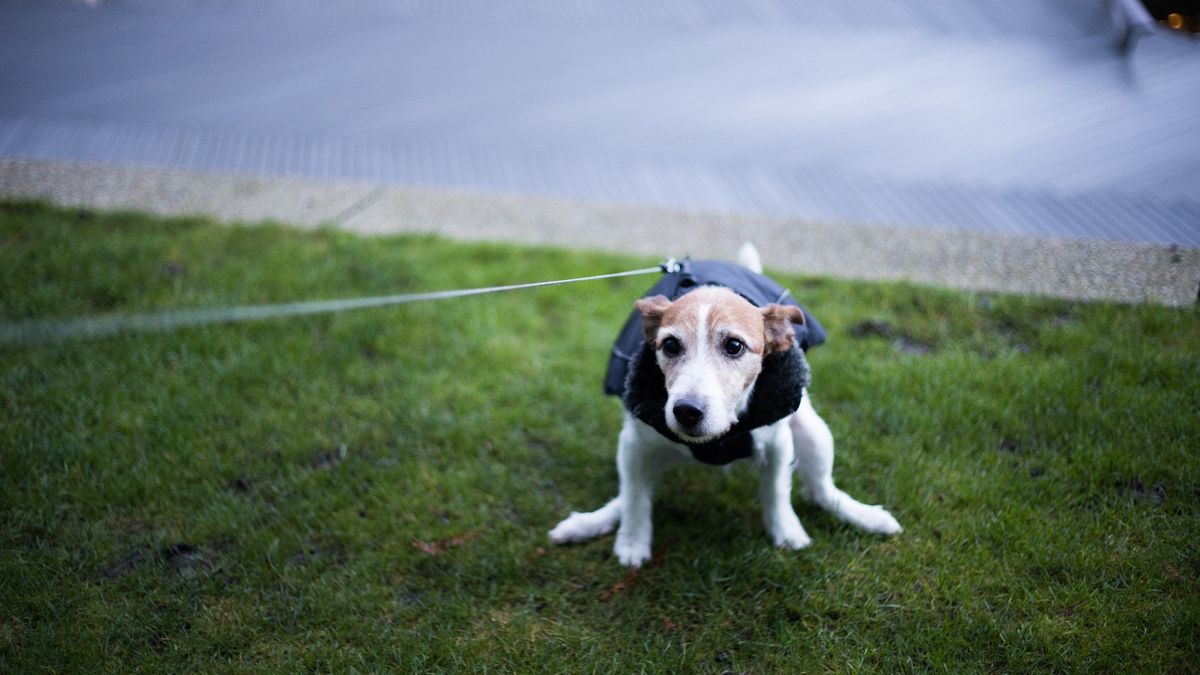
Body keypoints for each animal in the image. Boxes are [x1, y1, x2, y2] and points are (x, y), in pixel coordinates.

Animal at [549, 243, 897, 564]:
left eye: (734, 346)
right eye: (670, 345)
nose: (686, 411)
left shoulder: (778, 442)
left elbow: (777, 490)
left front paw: (786, 531)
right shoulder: (635, 441)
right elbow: (636, 498)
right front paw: (632, 542)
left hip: (814, 432)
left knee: (821, 491)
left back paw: (866, 516)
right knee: (629, 490)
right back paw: (590, 522)